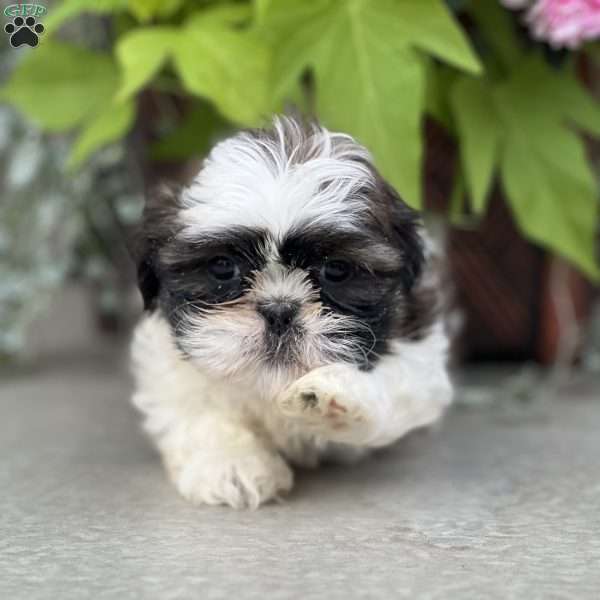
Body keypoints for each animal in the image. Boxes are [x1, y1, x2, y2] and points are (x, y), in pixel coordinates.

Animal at [130, 116, 450, 506]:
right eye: (222, 267)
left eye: (336, 270)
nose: (279, 310)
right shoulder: (167, 365)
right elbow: (200, 409)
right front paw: (231, 464)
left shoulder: (421, 355)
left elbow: (394, 387)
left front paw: (333, 398)